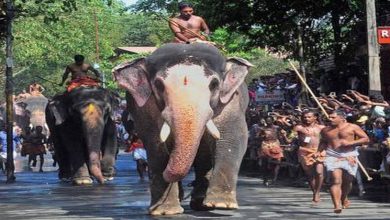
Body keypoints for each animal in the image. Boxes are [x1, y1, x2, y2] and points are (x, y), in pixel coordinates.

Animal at [112, 43, 253, 215]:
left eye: (214, 84)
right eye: (158, 85)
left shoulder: (232, 101)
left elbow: (234, 137)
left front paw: (222, 204)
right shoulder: (144, 107)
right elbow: (154, 144)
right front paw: (165, 211)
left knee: (203, 158)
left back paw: (200, 203)